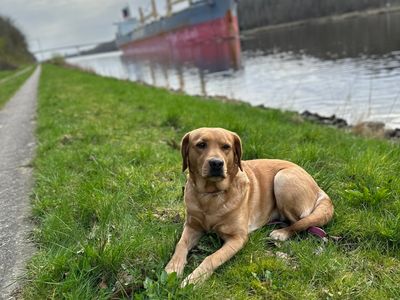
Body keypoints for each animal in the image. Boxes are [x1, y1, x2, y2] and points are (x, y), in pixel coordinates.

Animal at [164, 127, 332, 286]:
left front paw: (193, 279)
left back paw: (282, 233)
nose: (216, 163)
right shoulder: (192, 226)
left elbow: (212, 257)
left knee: (303, 222)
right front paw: (172, 268)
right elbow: (180, 245)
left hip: (282, 179)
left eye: (226, 147)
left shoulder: (237, 238)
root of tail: (317, 187)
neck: (211, 195)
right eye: (201, 145)